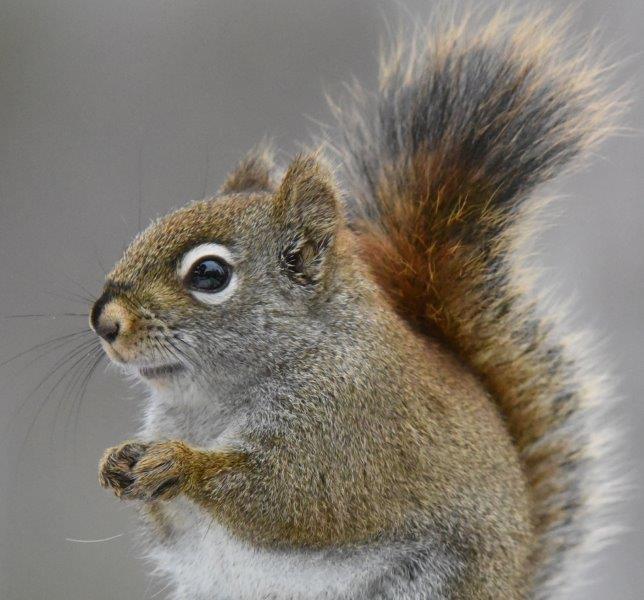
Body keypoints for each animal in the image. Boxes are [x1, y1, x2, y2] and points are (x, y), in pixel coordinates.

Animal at [92, 7, 622, 600]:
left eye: (209, 274)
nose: (104, 321)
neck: (212, 400)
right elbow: (170, 520)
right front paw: (118, 461)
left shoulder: (350, 430)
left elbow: (293, 498)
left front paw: (183, 464)